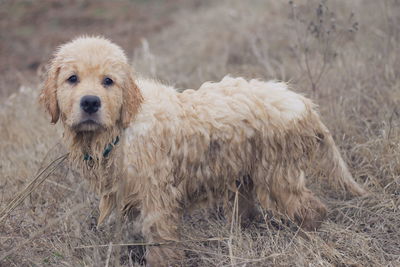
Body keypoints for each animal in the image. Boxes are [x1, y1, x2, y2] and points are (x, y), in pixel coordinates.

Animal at [39, 36, 366, 266]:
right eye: (72, 79)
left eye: (108, 81)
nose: (90, 103)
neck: (122, 128)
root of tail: (301, 102)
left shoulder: (158, 200)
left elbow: (161, 246)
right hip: (246, 177)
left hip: (277, 177)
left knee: (313, 210)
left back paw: (306, 238)